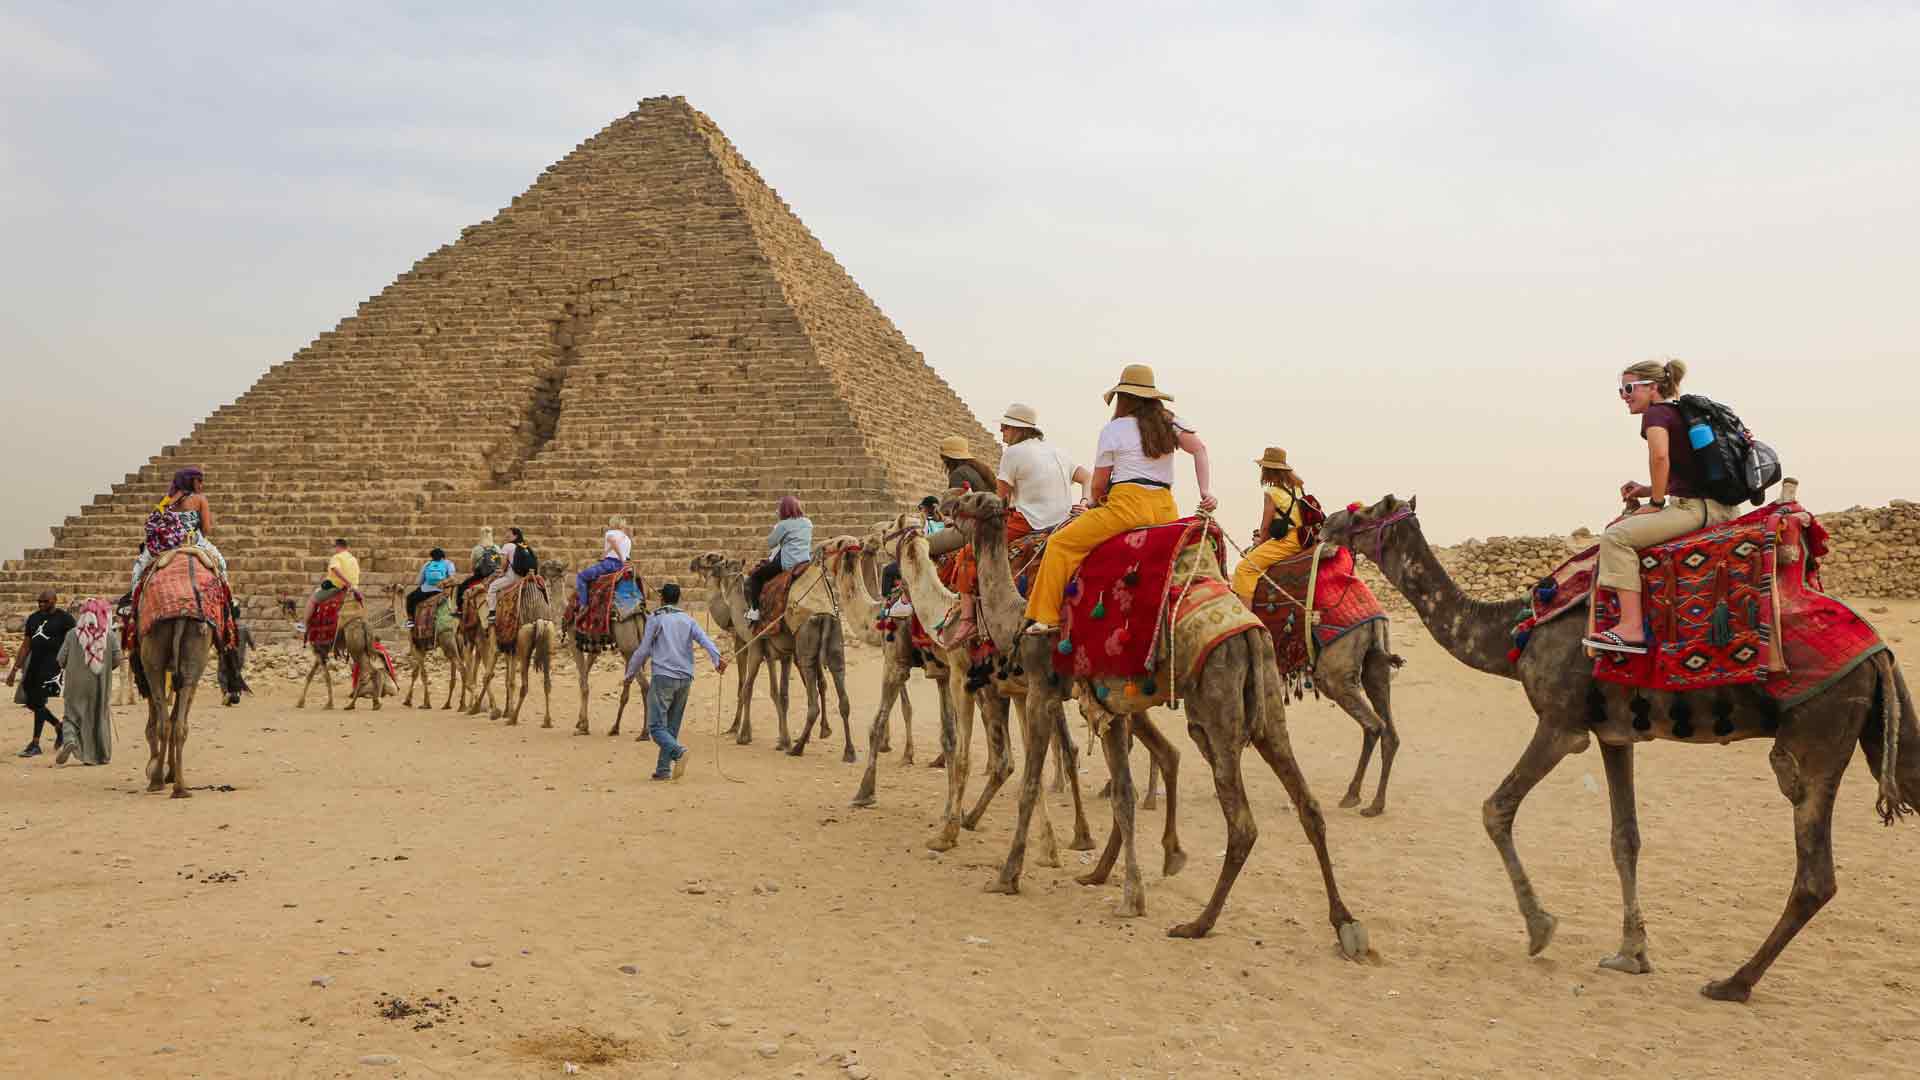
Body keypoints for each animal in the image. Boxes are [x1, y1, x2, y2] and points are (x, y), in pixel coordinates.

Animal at [683, 545, 848, 757]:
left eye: (710, 557)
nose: (692, 562)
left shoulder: (750, 646)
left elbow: (746, 687)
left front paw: (742, 733)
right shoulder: (776, 654)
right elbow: (779, 694)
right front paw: (782, 739)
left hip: (804, 645)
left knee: (815, 689)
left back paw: (802, 744)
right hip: (829, 642)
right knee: (828, 684)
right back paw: (830, 738)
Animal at [1328, 491, 1912, 999]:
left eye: (1367, 512)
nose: (1328, 523)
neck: (1515, 633)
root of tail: (1878, 652)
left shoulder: (1561, 724)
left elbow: (1496, 809)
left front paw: (1540, 928)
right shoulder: (1614, 733)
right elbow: (1624, 838)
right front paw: (1631, 953)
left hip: (1815, 734)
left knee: (1814, 875)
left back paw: (1733, 984)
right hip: (1874, 725)